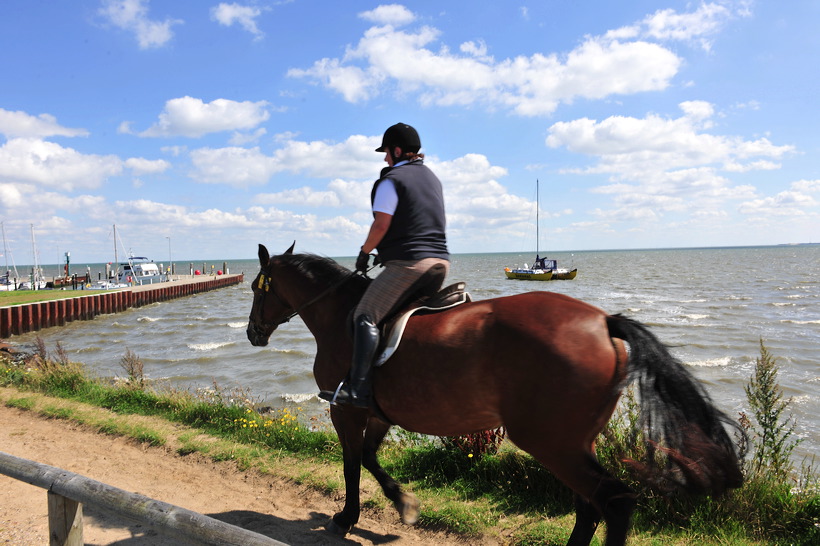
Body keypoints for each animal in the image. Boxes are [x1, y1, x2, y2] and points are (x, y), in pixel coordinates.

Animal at [247, 243, 748, 544]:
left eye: (256, 287)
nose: (253, 333)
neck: (340, 316)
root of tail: (603, 321)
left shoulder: (346, 411)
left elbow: (352, 465)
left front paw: (347, 517)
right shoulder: (378, 413)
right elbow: (370, 460)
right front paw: (404, 505)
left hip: (550, 441)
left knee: (613, 502)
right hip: (574, 442)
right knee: (590, 506)